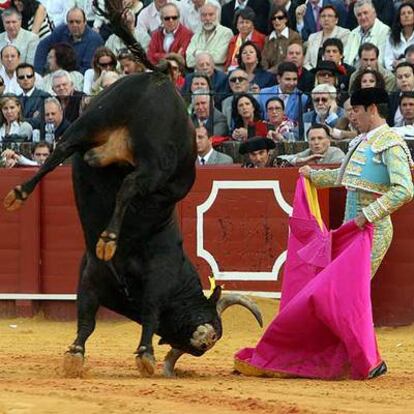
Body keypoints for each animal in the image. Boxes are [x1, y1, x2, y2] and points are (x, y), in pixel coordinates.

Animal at [3, 0, 262, 378]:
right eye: (214, 326)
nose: (206, 337)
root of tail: (160, 77)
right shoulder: (147, 278)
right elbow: (141, 314)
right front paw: (144, 355)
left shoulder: (91, 278)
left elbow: (89, 318)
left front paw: (76, 354)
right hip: (155, 161)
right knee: (124, 183)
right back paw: (106, 239)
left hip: (90, 122)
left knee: (59, 153)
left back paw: (18, 195)